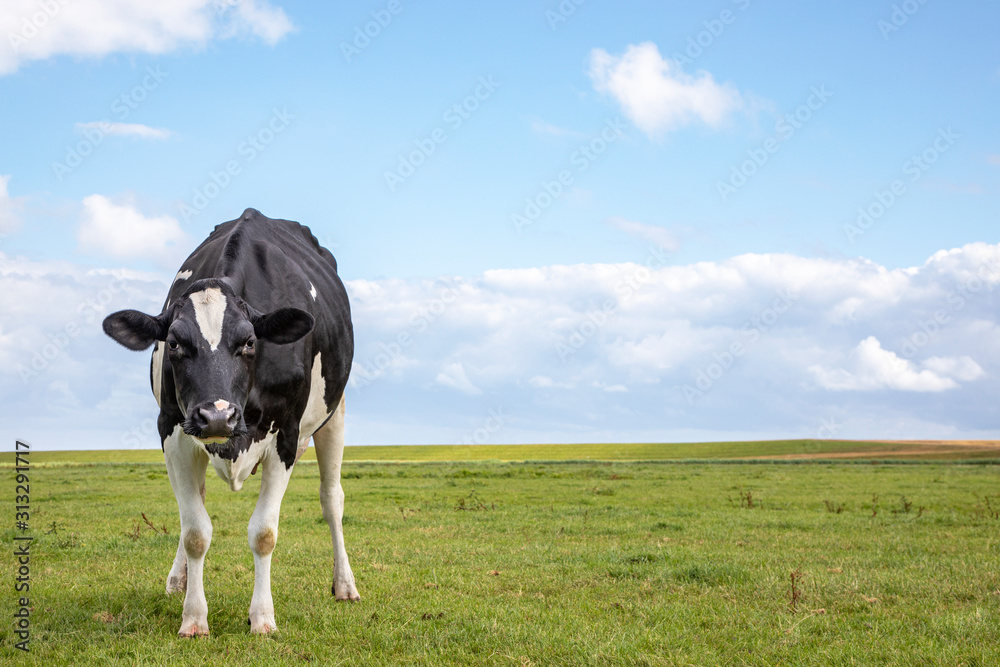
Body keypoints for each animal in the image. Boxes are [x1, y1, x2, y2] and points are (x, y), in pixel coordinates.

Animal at [101, 209, 358, 636]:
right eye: (174, 343)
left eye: (250, 342)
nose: (218, 415)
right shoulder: (172, 430)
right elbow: (195, 531)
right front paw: (193, 617)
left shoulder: (286, 435)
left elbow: (264, 533)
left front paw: (263, 618)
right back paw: (178, 579)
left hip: (334, 412)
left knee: (332, 498)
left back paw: (345, 584)